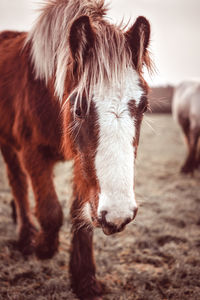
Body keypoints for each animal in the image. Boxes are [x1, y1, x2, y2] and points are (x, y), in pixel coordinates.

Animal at [0, 1, 152, 298]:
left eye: (143, 106)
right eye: (79, 108)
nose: (118, 215)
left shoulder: (83, 164)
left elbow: (80, 218)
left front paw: (84, 280)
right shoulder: (32, 152)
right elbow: (50, 211)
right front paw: (43, 248)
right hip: (8, 145)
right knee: (18, 184)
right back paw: (26, 237)